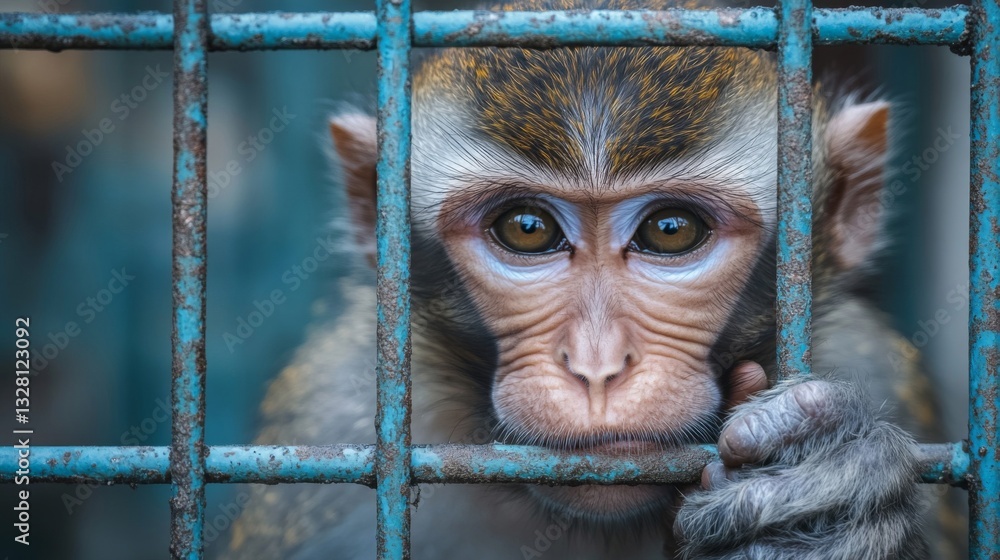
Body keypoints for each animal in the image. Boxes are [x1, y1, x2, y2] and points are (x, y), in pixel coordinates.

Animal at [218, 1, 962, 558]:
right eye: (526, 228)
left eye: (671, 230)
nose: (597, 367)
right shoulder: (327, 416)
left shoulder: (875, 364)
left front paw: (832, 502)